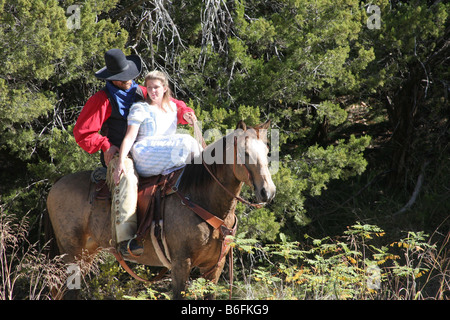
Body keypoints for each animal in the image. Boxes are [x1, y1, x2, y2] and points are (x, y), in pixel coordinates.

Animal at [47, 120, 276, 300]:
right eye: (245, 153)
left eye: (266, 152)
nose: (268, 191)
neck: (200, 198)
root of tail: (55, 185)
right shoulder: (181, 264)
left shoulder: (213, 267)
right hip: (72, 254)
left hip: (86, 253)